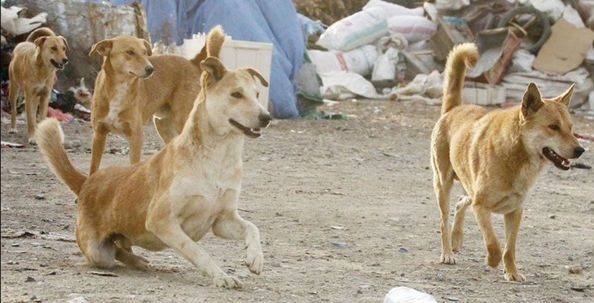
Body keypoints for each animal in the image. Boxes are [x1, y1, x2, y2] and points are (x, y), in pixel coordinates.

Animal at [38, 56, 274, 288]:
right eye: (236, 94)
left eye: (257, 94)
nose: (267, 117)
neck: (218, 159)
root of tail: (87, 182)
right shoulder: (161, 221)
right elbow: (198, 251)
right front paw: (221, 276)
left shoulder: (222, 221)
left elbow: (252, 228)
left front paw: (255, 258)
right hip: (98, 253)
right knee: (113, 253)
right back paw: (138, 261)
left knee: (120, 248)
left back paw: (139, 261)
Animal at [428, 42, 584, 282]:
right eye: (553, 127)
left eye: (571, 127)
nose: (581, 150)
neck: (517, 155)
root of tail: (454, 109)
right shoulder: (481, 207)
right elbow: (494, 244)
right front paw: (492, 261)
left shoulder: (515, 212)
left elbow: (509, 248)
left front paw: (512, 272)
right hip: (443, 184)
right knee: (444, 220)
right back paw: (447, 253)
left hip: (468, 187)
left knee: (461, 203)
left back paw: (457, 239)